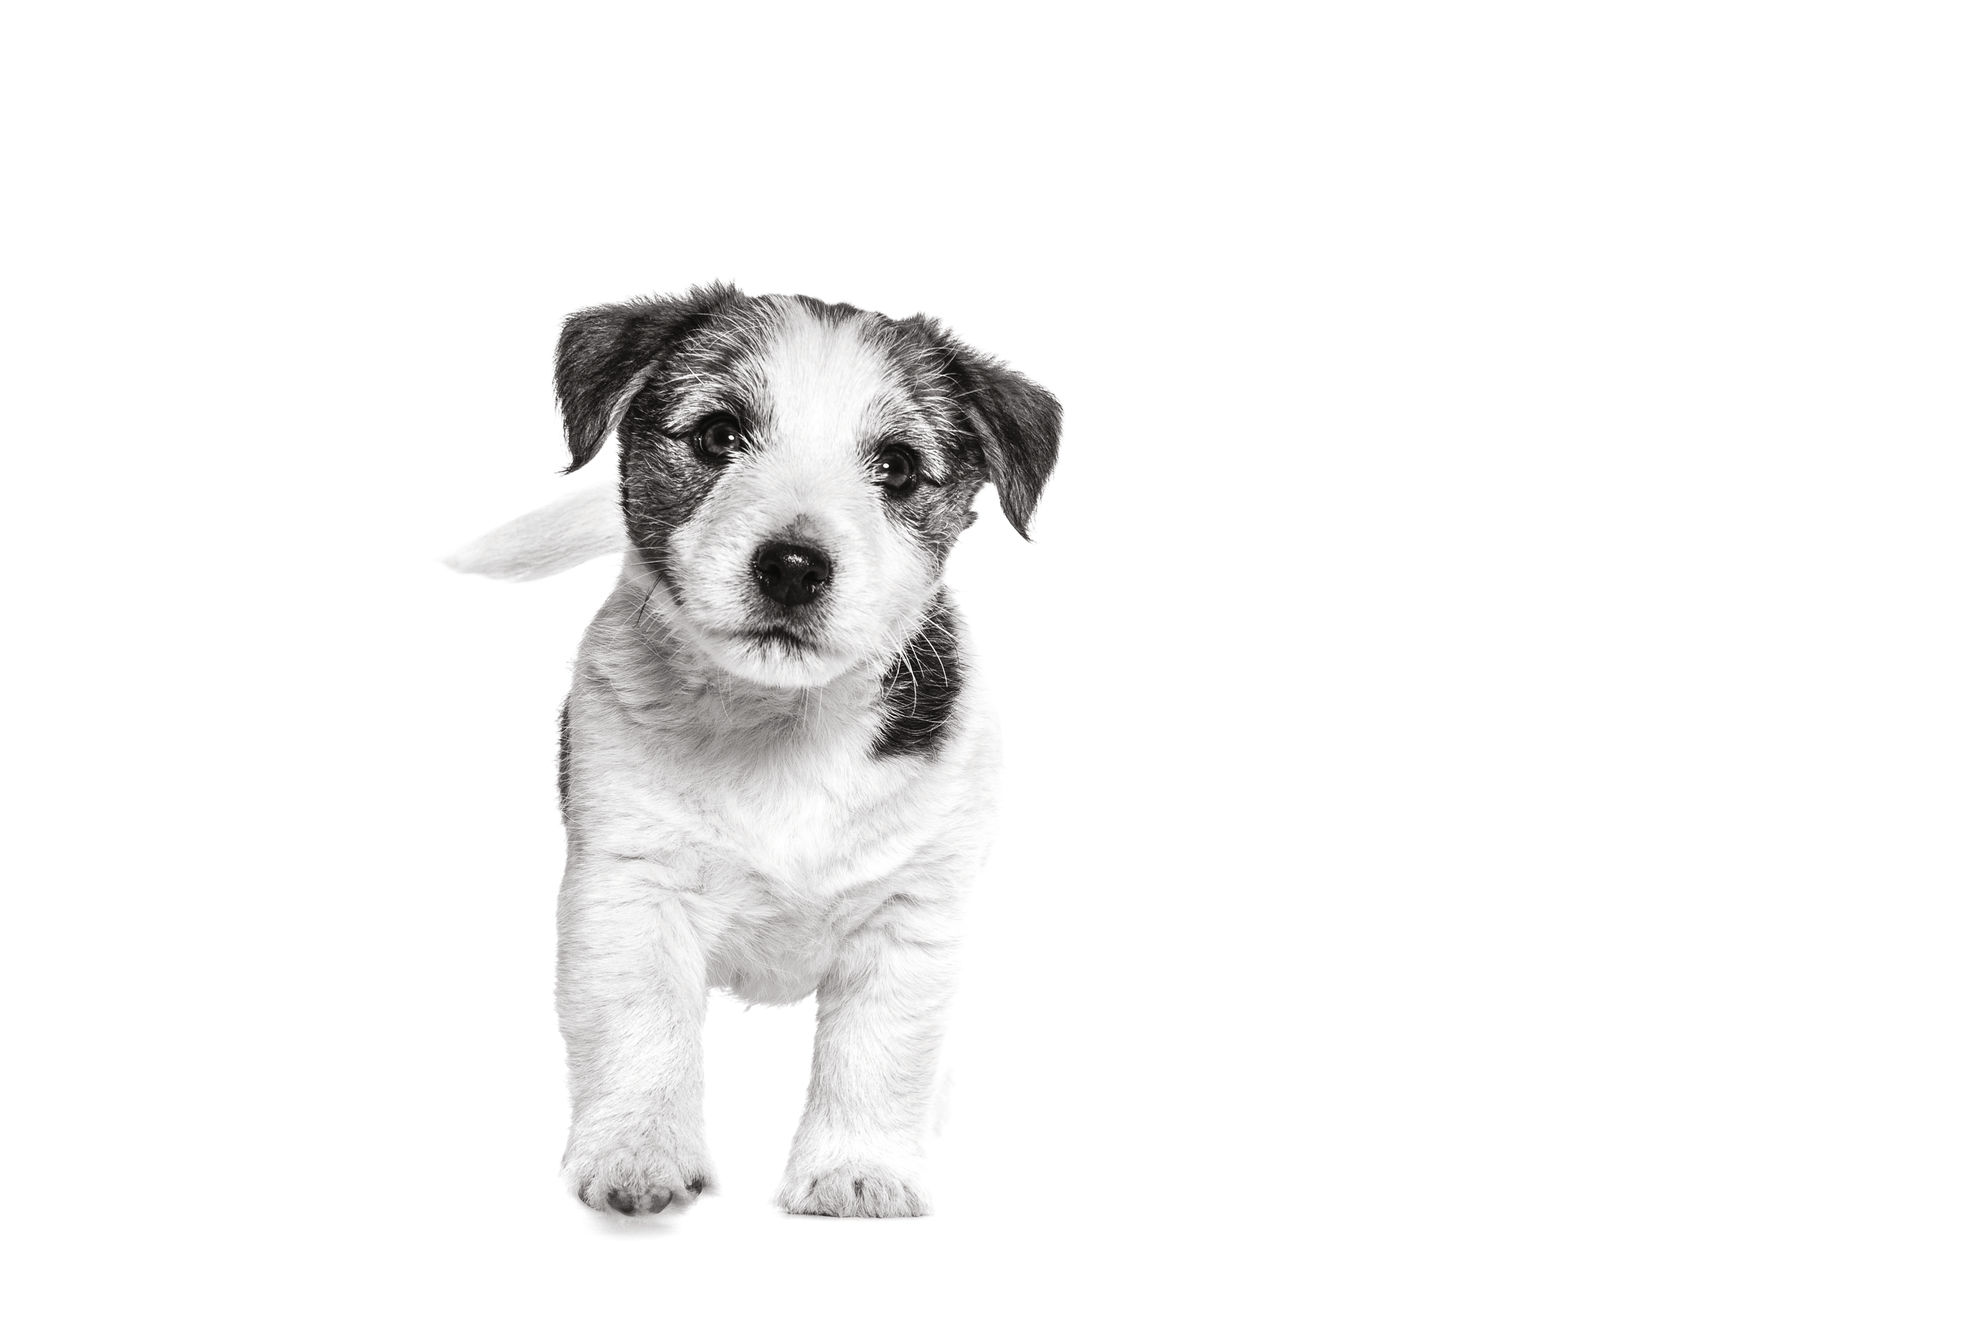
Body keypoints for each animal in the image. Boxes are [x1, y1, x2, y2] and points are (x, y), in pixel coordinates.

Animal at [453, 286, 1069, 1219]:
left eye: (896, 467)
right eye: (717, 435)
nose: (792, 566)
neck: (782, 722)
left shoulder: (911, 918)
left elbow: (879, 1051)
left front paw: (859, 1168)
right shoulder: (630, 895)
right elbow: (642, 1029)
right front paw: (638, 1151)